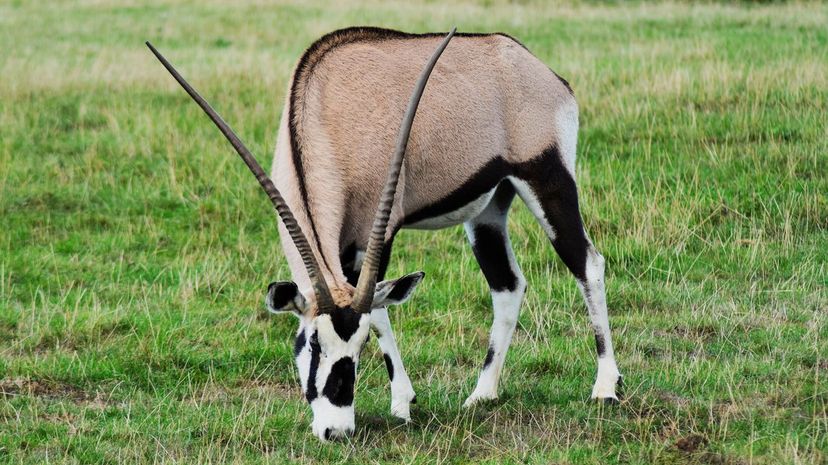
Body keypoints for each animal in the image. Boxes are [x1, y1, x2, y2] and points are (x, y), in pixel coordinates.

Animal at [147, 26, 620, 442]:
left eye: (355, 351)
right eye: (312, 344)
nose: (335, 432)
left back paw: (605, 388)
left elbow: (378, 311)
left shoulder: (378, 234)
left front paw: (402, 405)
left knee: (587, 263)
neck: (323, 109)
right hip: (490, 206)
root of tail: (543, 72)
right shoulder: (345, 250)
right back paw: (482, 394)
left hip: (547, 181)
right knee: (508, 284)